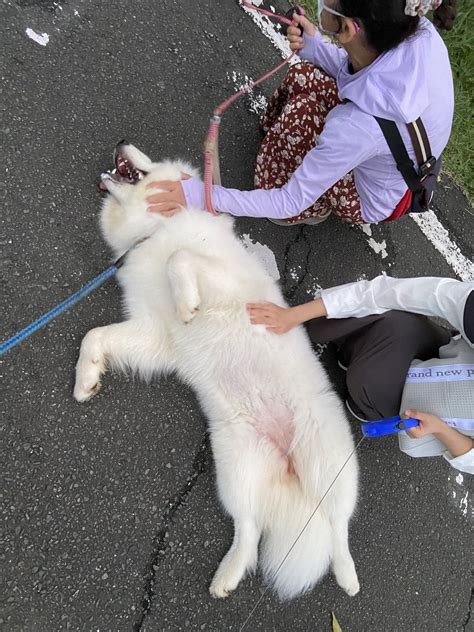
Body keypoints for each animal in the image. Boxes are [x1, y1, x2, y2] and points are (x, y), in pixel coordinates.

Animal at [74, 144, 360, 604]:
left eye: (147, 157)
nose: (120, 143)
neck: (153, 229)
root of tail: (287, 463)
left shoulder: (215, 282)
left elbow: (180, 258)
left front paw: (187, 302)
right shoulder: (155, 334)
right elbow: (94, 336)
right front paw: (86, 379)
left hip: (329, 466)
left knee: (337, 526)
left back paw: (348, 577)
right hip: (235, 469)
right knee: (249, 529)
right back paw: (227, 576)